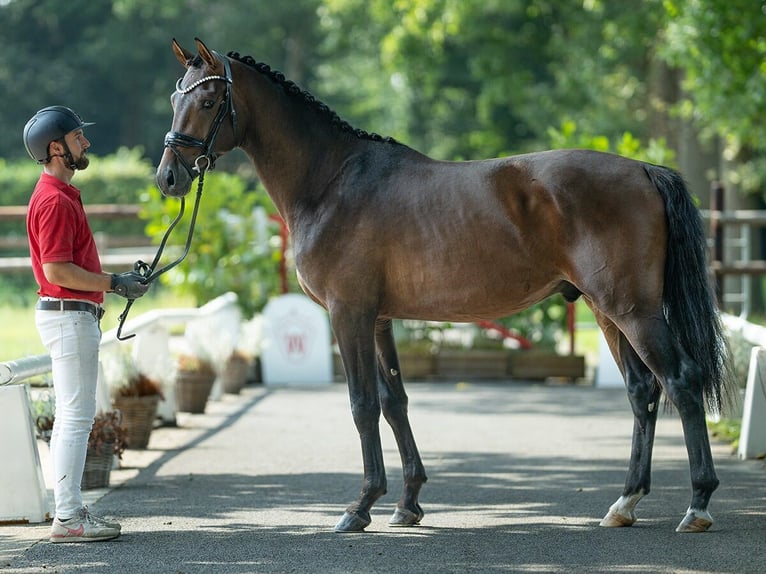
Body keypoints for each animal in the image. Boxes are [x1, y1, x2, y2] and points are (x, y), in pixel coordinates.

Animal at [154, 39, 732, 536]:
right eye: (174, 97)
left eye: (208, 100)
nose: (168, 178)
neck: (332, 181)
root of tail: (644, 169)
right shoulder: (379, 319)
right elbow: (395, 401)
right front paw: (407, 502)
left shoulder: (348, 314)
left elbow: (362, 404)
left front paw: (360, 506)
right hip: (606, 311)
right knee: (642, 391)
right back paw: (625, 503)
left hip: (634, 310)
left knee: (681, 381)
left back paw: (698, 505)